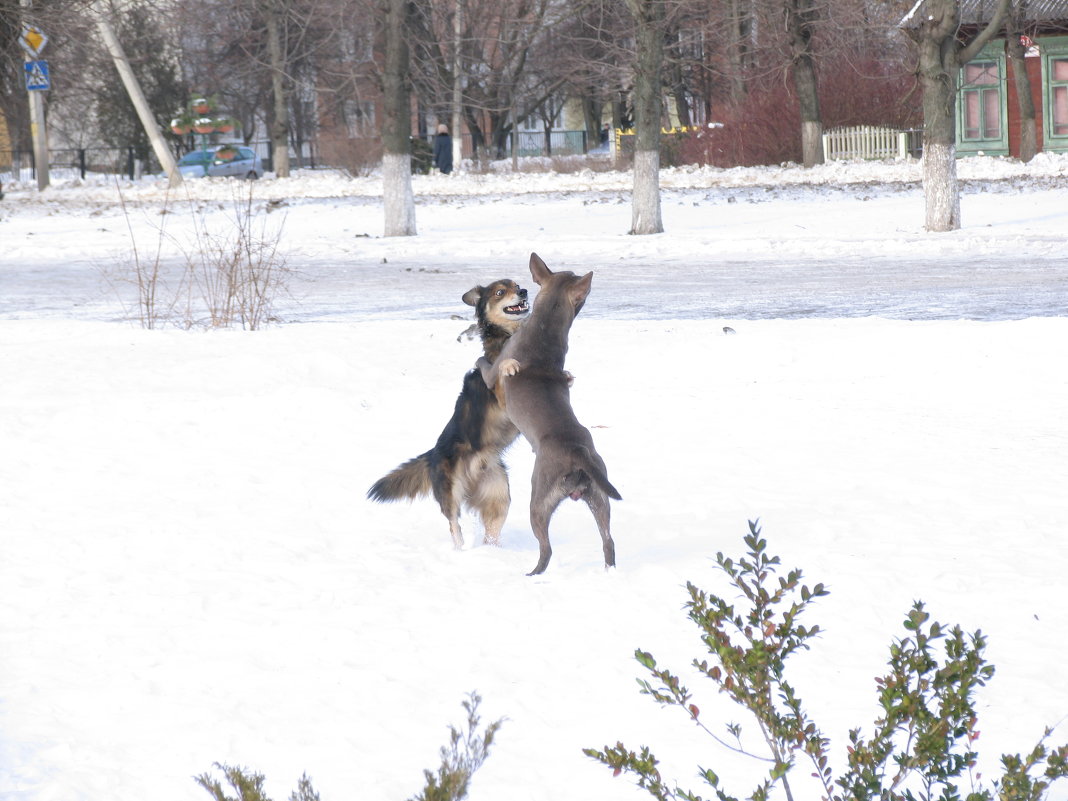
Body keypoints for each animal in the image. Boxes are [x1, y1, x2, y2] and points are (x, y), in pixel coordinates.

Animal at [367, 279, 529, 551]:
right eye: (500, 292)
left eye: (516, 285)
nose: (524, 291)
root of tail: (432, 453)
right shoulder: (501, 395)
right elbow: (502, 369)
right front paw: (509, 364)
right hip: (451, 489)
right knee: (454, 523)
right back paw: (461, 548)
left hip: (498, 493)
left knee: (491, 531)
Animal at [476, 254, 619, 572]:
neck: (544, 331)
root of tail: (578, 454)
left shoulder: (494, 374)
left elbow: (483, 363)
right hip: (599, 494)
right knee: (608, 541)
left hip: (539, 500)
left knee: (546, 549)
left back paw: (531, 574)